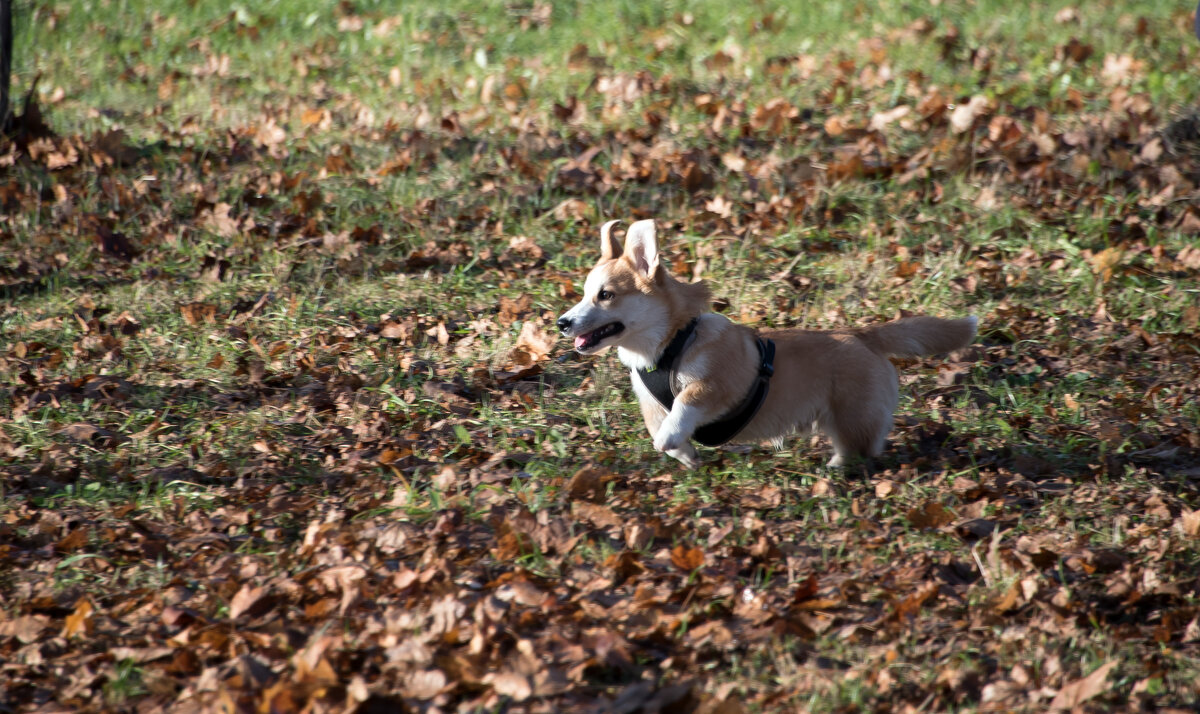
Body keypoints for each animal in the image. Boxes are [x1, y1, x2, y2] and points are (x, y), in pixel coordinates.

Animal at [556, 220, 979, 472]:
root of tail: (862, 334)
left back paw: (837, 470)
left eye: (605, 295)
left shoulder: (716, 384)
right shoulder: (651, 403)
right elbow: (666, 433)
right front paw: (686, 456)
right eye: (584, 294)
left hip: (853, 416)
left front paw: (671, 437)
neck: (669, 344)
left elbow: (684, 407)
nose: (562, 323)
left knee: (861, 448)